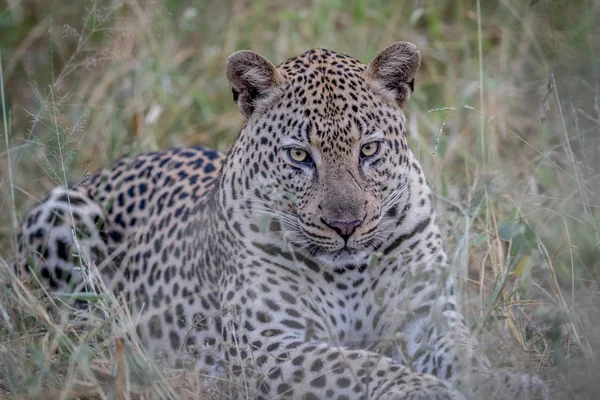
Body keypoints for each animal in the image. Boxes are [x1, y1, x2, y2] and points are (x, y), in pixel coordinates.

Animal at [14, 42, 548, 398]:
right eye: (298, 155)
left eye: (369, 150)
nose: (346, 226)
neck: (350, 272)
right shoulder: (269, 343)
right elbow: (360, 366)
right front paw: (425, 390)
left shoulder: (428, 317)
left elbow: (468, 356)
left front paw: (512, 383)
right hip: (63, 212)